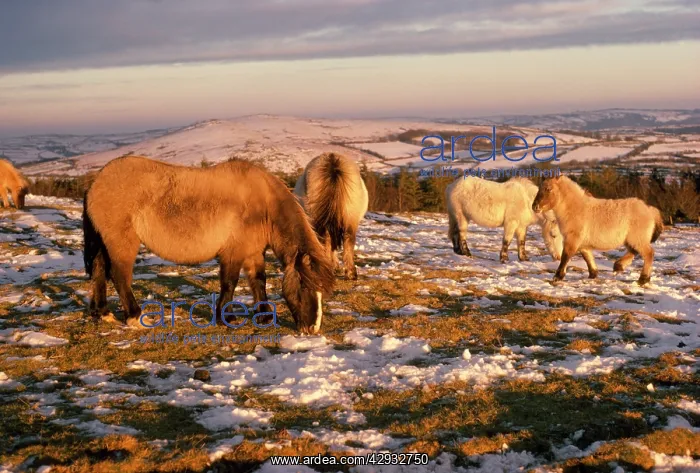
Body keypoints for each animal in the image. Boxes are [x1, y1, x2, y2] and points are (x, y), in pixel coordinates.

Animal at [83, 156, 335, 334]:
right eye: (305, 287)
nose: (312, 329)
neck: (263, 204)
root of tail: (96, 182)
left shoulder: (254, 253)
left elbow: (259, 282)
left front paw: (263, 316)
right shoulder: (233, 253)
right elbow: (229, 283)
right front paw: (227, 318)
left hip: (104, 243)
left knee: (99, 271)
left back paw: (102, 312)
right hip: (123, 243)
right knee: (119, 275)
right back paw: (134, 316)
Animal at [532, 175, 663, 285]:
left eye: (548, 189)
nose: (534, 207)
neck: (576, 209)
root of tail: (649, 209)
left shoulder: (572, 239)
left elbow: (566, 256)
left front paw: (557, 277)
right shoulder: (582, 244)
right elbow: (588, 258)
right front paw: (593, 274)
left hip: (637, 239)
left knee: (648, 254)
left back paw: (643, 279)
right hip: (632, 239)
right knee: (633, 251)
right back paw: (619, 266)